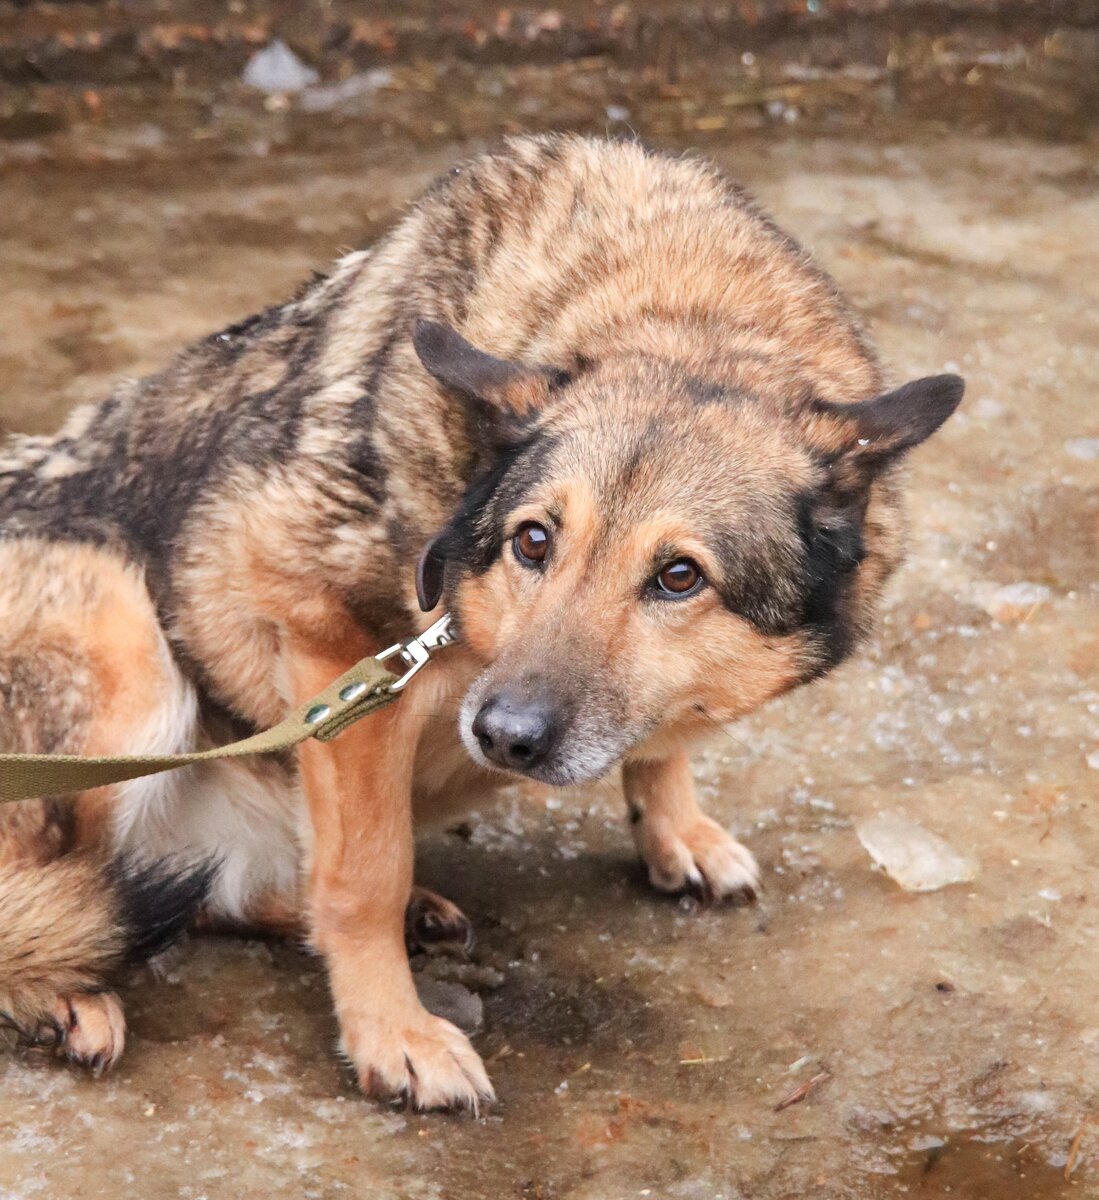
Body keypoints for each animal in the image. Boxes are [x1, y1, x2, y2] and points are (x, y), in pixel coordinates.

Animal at [0, 131, 959, 1104]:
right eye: (533, 541)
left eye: (678, 577)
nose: (503, 736)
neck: (681, 311)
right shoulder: (331, 646)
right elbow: (364, 874)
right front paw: (392, 1031)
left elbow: (659, 747)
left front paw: (675, 828)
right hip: (124, 636)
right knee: (61, 892)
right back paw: (63, 989)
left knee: (191, 895)